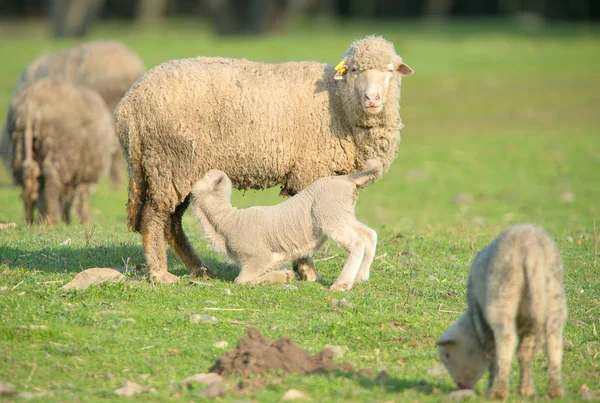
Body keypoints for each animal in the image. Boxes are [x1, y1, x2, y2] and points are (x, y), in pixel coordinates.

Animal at [7, 77, 114, 226]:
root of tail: (30, 106)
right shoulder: (86, 172)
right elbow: (83, 194)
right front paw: (84, 221)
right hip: (57, 152)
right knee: (51, 184)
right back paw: (51, 220)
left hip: (18, 147)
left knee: (29, 180)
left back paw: (30, 220)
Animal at [190, 158, 382, 290]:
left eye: (204, 176)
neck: (227, 220)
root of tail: (347, 179)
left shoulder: (258, 257)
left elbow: (241, 281)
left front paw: (283, 276)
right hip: (343, 215)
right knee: (369, 235)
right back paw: (361, 276)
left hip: (330, 216)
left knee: (356, 243)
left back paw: (341, 284)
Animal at [436, 224, 568, 400]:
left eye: (447, 356)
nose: (462, 387)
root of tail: (531, 250)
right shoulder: (528, 322)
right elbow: (524, 353)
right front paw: (526, 389)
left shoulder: (481, 318)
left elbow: (492, 353)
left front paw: (492, 385)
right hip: (552, 295)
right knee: (554, 342)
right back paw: (555, 391)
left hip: (502, 293)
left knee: (507, 340)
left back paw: (497, 392)